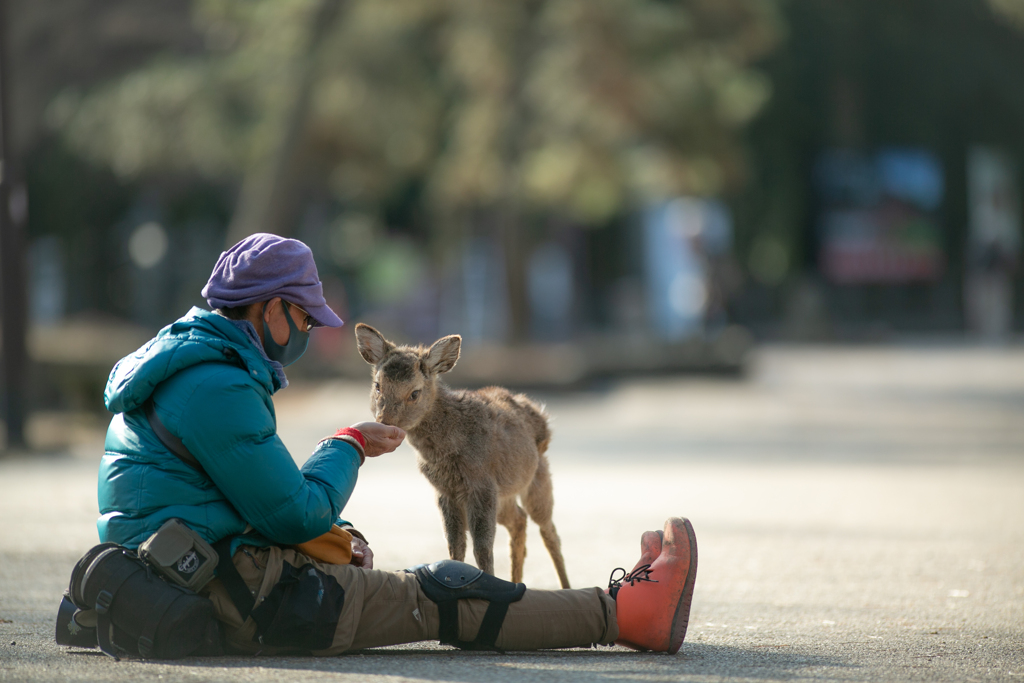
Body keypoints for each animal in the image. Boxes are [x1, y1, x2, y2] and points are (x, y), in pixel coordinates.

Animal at [356, 325, 573, 589]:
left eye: (415, 393)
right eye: (377, 385)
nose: (384, 422)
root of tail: (540, 414)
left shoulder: (482, 483)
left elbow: (482, 547)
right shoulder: (445, 491)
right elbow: (455, 545)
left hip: (537, 477)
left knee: (548, 530)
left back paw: (566, 586)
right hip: (505, 495)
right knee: (519, 520)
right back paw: (517, 583)